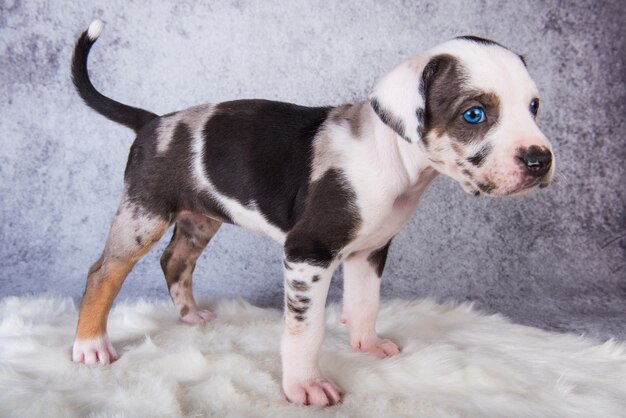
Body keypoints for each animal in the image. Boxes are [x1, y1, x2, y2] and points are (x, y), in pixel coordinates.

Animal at [70, 18, 552, 404]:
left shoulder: (369, 252)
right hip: (143, 215)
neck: (392, 156)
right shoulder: (308, 254)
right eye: (474, 114)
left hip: (199, 219)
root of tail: (152, 121)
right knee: (102, 273)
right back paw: (91, 345)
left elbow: (365, 304)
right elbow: (306, 330)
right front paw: (304, 385)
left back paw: (190, 315)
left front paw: (367, 345)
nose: (539, 160)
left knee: (175, 261)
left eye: (533, 106)